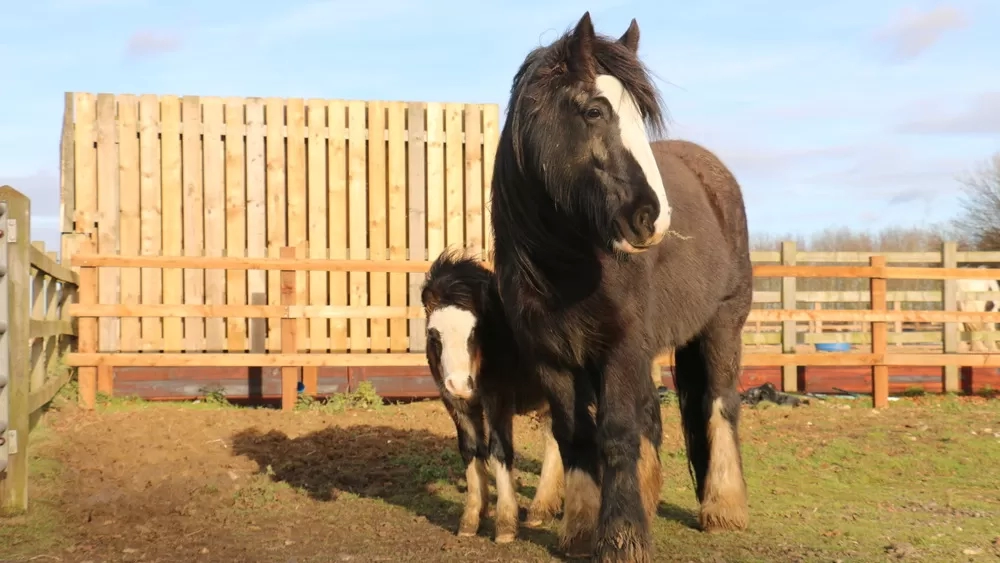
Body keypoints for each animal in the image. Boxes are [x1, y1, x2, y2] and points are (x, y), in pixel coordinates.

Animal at [418, 250, 568, 540]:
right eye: (434, 335)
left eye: (475, 332)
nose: (460, 384)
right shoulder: (457, 405)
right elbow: (470, 450)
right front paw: (470, 520)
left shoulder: (498, 400)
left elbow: (499, 450)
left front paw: (506, 525)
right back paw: (540, 510)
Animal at [488, 13, 752, 563]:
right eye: (594, 110)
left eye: (641, 118)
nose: (653, 218)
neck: (564, 267)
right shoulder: (552, 356)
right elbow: (574, 436)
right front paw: (580, 529)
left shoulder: (621, 347)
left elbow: (616, 434)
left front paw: (622, 537)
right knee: (653, 416)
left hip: (722, 327)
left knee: (720, 406)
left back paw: (722, 508)